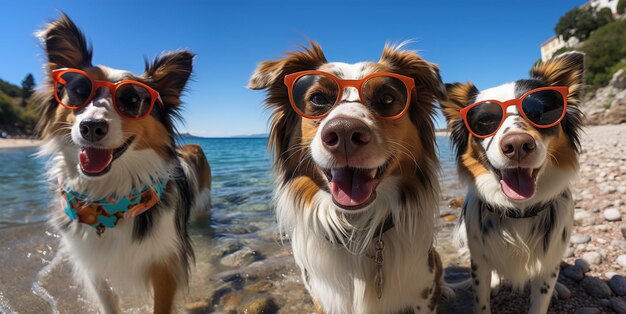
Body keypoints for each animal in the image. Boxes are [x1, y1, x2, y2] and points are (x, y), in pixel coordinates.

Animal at [34, 13, 210, 312]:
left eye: (132, 99)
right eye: (78, 90)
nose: (92, 127)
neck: (107, 199)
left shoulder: (165, 262)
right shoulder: (93, 265)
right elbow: (108, 301)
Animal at [436, 51, 584, 312]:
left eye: (539, 112)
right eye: (485, 120)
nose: (517, 145)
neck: (520, 211)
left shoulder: (548, 266)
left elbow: (540, 300)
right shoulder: (479, 262)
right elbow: (481, 300)